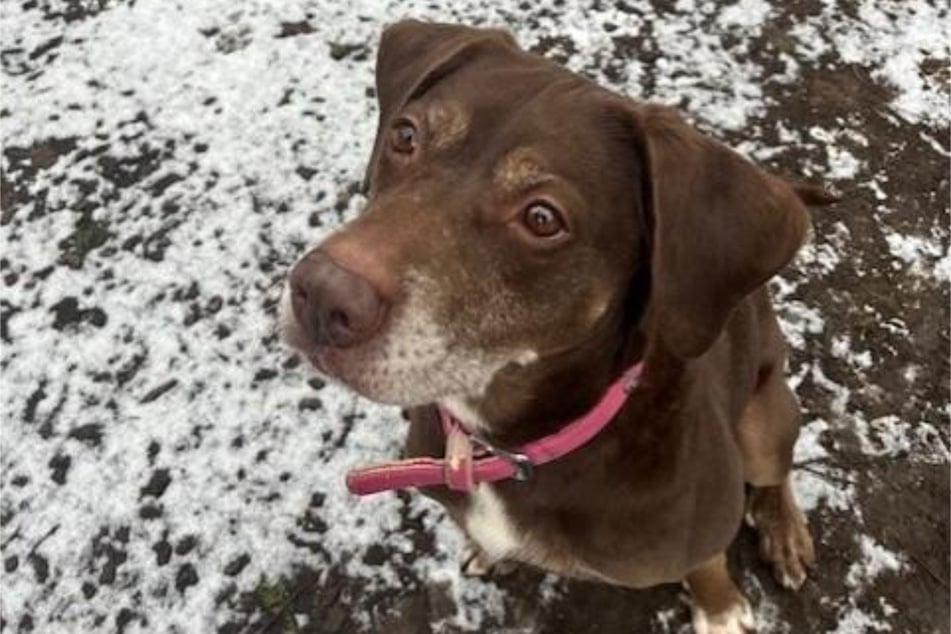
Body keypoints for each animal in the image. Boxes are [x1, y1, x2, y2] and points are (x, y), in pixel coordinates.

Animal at [278, 19, 836, 632]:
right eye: (404, 136)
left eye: (543, 218)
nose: (320, 296)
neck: (509, 449)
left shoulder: (703, 524)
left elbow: (707, 564)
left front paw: (720, 609)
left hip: (763, 417)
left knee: (775, 470)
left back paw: (784, 529)